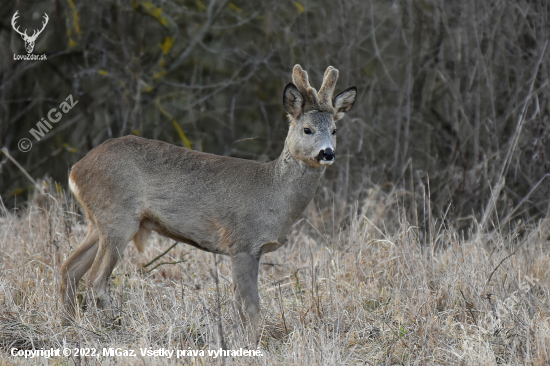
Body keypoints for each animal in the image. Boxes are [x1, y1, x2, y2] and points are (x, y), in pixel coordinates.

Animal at [60, 64, 358, 342]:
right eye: (307, 129)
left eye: (334, 130)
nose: (327, 153)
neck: (274, 194)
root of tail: (75, 169)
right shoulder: (243, 243)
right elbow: (251, 306)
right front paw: (253, 344)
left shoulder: (246, 249)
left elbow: (239, 304)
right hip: (119, 218)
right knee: (95, 279)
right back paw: (110, 327)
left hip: (98, 222)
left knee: (69, 268)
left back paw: (69, 323)